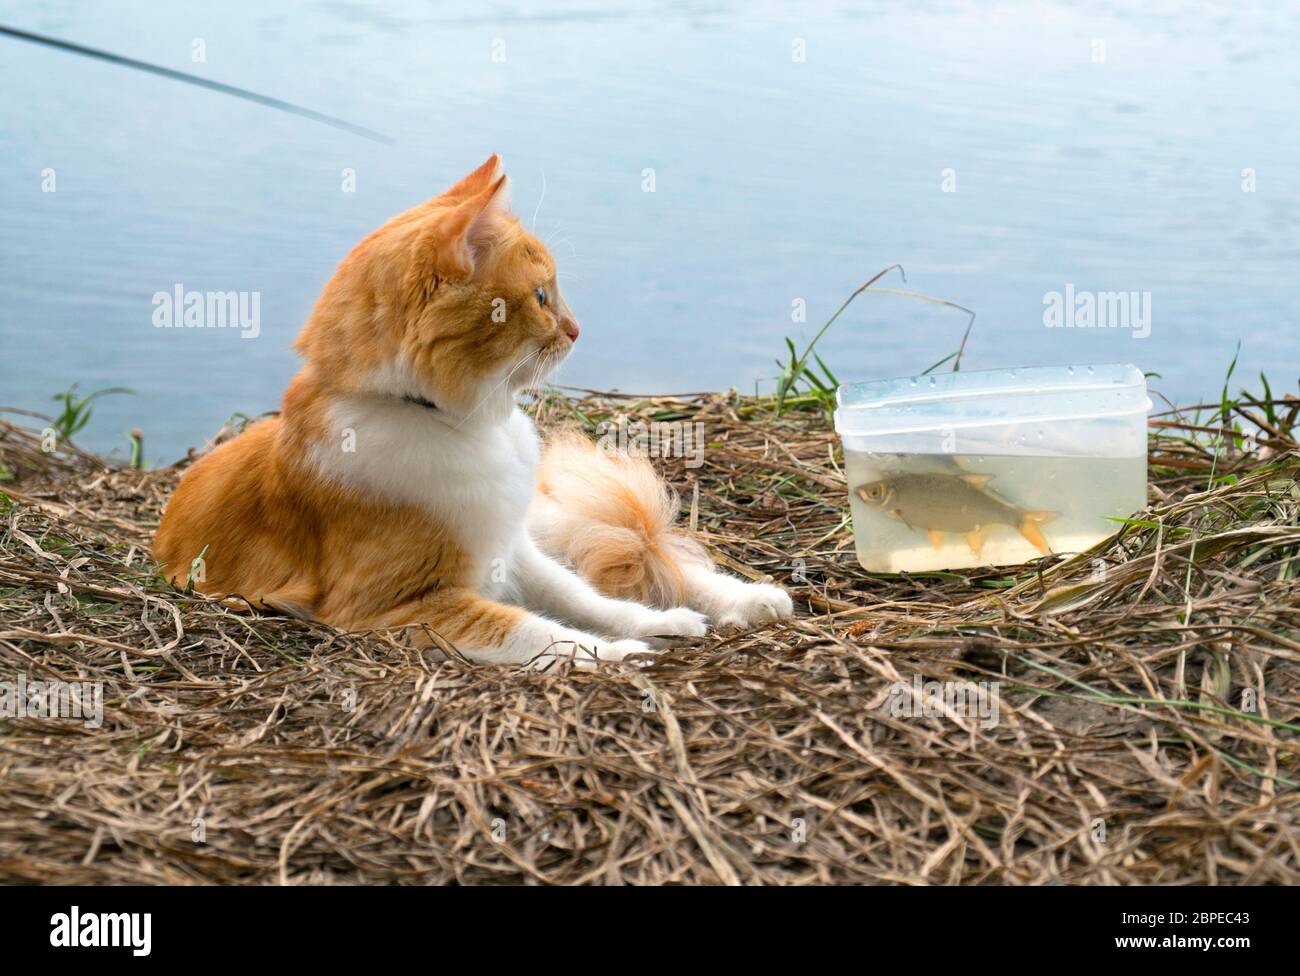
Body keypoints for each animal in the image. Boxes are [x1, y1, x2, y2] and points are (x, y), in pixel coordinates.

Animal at [153, 156, 790, 670]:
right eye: (541, 297)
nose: (577, 330)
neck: (462, 425)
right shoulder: (404, 606)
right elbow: (543, 632)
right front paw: (620, 653)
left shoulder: (515, 551)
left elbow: (586, 600)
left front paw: (656, 625)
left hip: (543, 523)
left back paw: (752, 597)